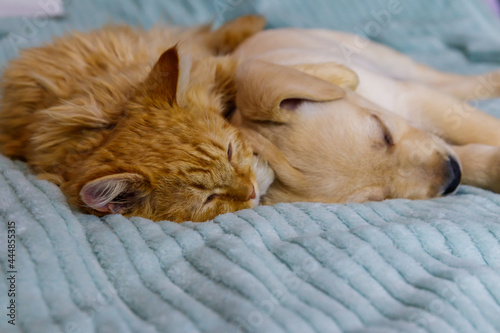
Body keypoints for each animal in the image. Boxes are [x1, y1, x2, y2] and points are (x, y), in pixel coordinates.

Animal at [230, 28, 500, 204]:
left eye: (385, 134)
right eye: (379, 197)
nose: (453, 177)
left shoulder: (415, 99)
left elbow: (484, 129)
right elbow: (468, 155)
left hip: (390, 62)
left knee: (450, 81)